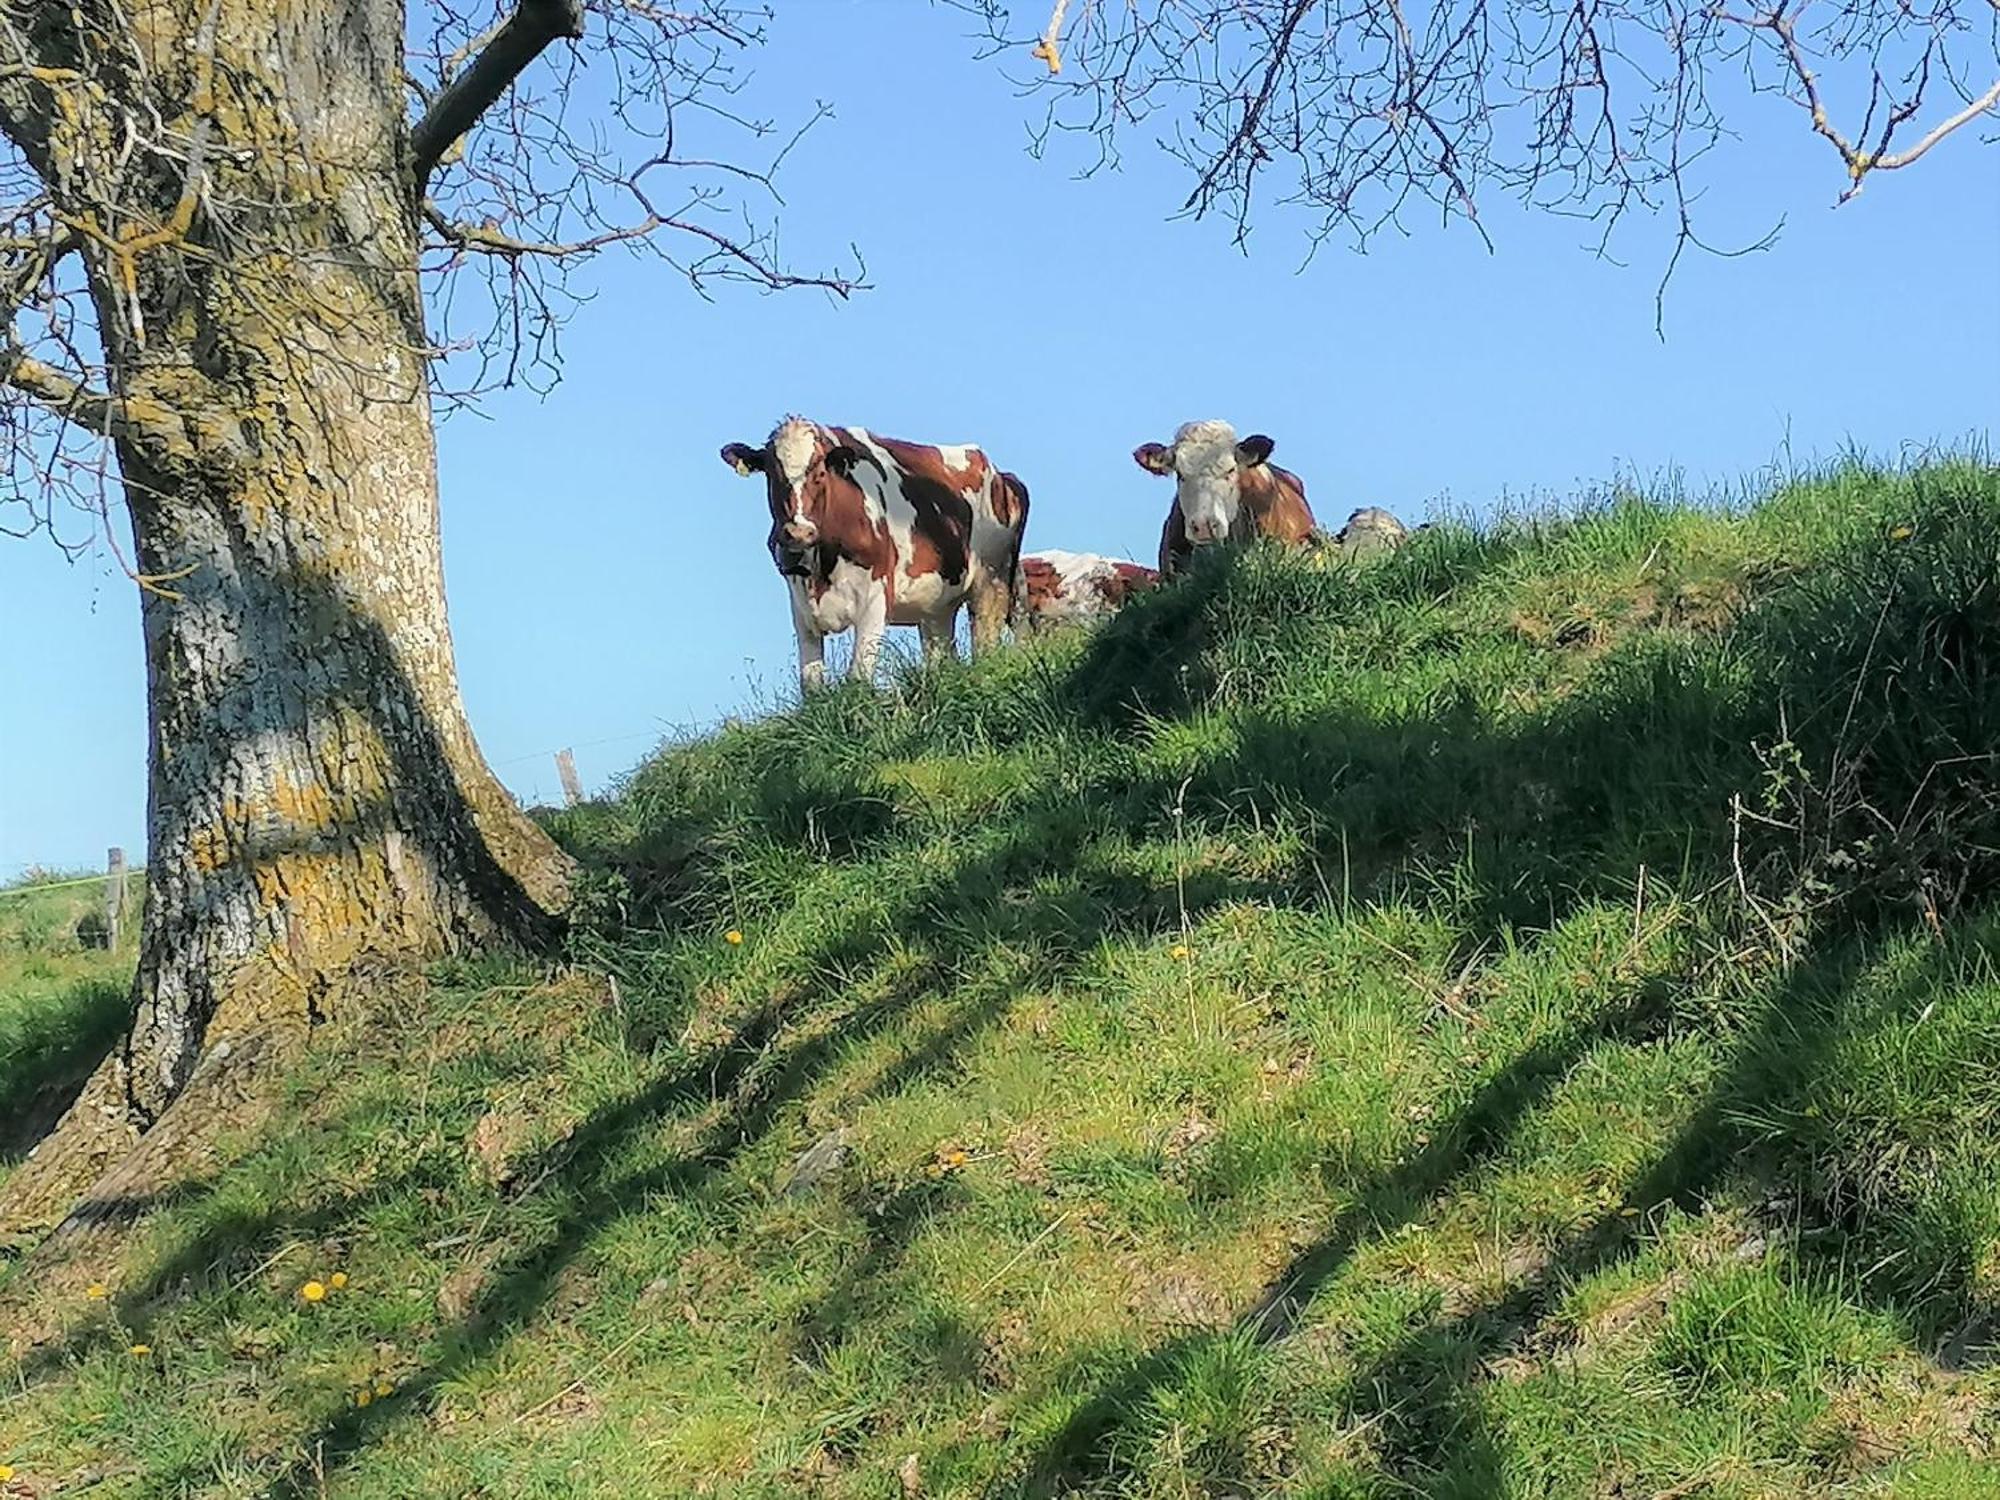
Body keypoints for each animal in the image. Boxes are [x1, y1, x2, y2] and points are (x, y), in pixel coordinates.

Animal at [724, 414, 1032, 692]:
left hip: (991, 584)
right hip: (937, 608)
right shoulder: (801, 607)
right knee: (942, 656)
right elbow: (811, 687)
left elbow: (857, 678)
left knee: (985, 646)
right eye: (772, 475)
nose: (799, 533)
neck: (823, 567)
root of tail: (1001, 476)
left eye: (820, 474)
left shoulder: (875, 597)